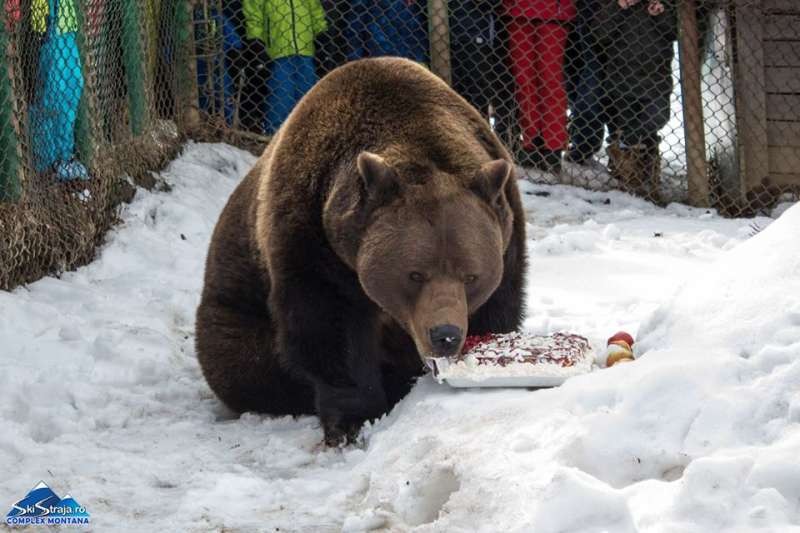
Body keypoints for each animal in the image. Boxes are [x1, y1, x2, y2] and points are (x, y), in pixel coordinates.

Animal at [197, 56, 528, 442]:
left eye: (471, 275)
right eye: (415, 274)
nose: (445, 335)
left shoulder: (507, 231)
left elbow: (499, 307)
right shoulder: (311, 238)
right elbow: (330, 329)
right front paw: (353, 418)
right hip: (234, 312)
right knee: (245, 366)